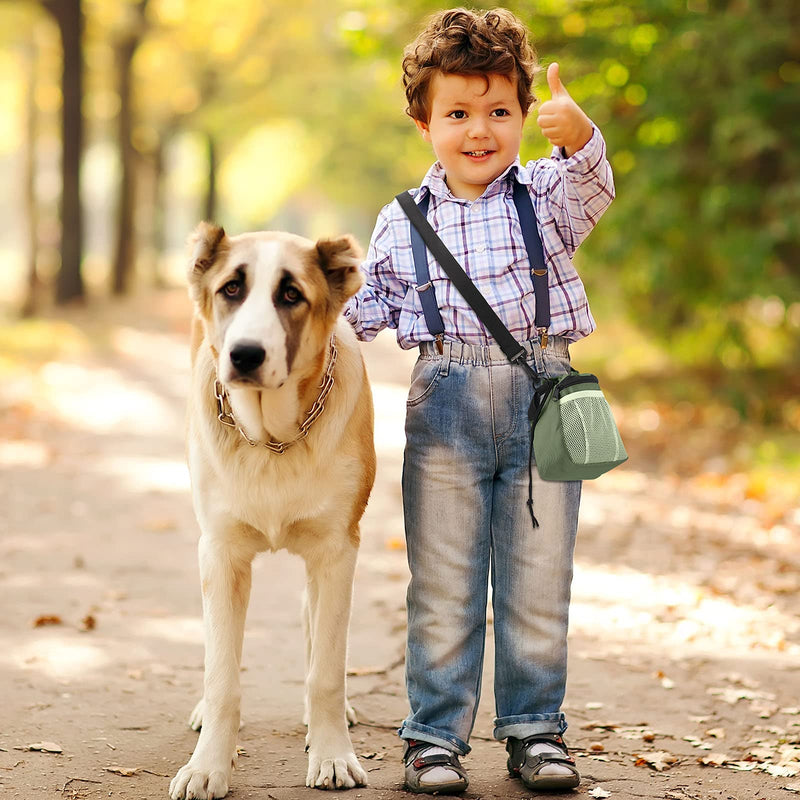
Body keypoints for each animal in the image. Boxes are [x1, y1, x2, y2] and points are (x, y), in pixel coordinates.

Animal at [169, 222, 376, 796]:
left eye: (291, 295)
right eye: (231, 289)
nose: (244, 355)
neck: (272, 440)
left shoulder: (337, 551)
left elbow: (326, 670)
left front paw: (332, 755)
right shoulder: (220, 553)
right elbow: (222, 675)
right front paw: (208, 766)